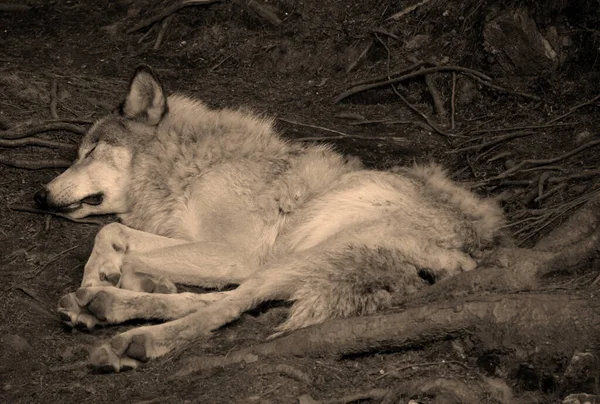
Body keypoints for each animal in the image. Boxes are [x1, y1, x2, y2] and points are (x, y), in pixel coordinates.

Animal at [34, 65, 506, 372]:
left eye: (90, 153)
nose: (39, 195)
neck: (191, 165)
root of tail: (473, 249)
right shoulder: (193, 238)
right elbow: (113, 233)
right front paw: (109, 280)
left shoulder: (234, 253)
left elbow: (121, 245)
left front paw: (113, 279)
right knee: (230, 300)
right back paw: (100, 305)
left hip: (316, 242)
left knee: (231, 303)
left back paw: (130, 333)